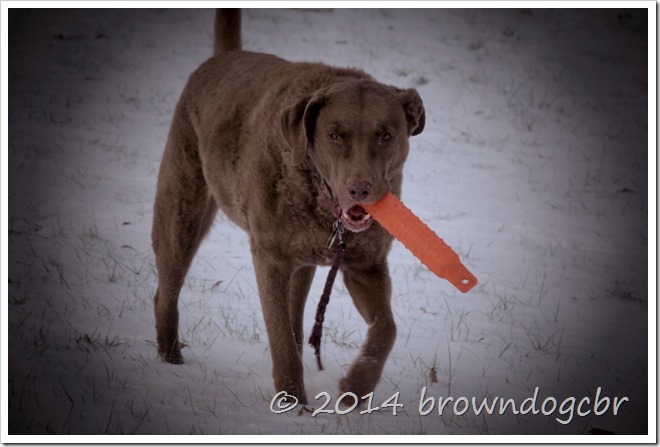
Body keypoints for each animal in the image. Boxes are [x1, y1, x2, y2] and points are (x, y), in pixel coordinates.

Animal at [152, 9, 425, 404]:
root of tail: (225, 56)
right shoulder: (270, 258)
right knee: (167, 289)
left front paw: (356, 387)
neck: (323, 205)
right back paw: (170, 359)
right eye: (335, 135)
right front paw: (293, 404)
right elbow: (279, 336)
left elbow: (386, 329)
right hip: (182, 207)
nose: (359, 189)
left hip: (302, 258)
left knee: (298, 316)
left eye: (386, 135)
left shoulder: (366, 264)